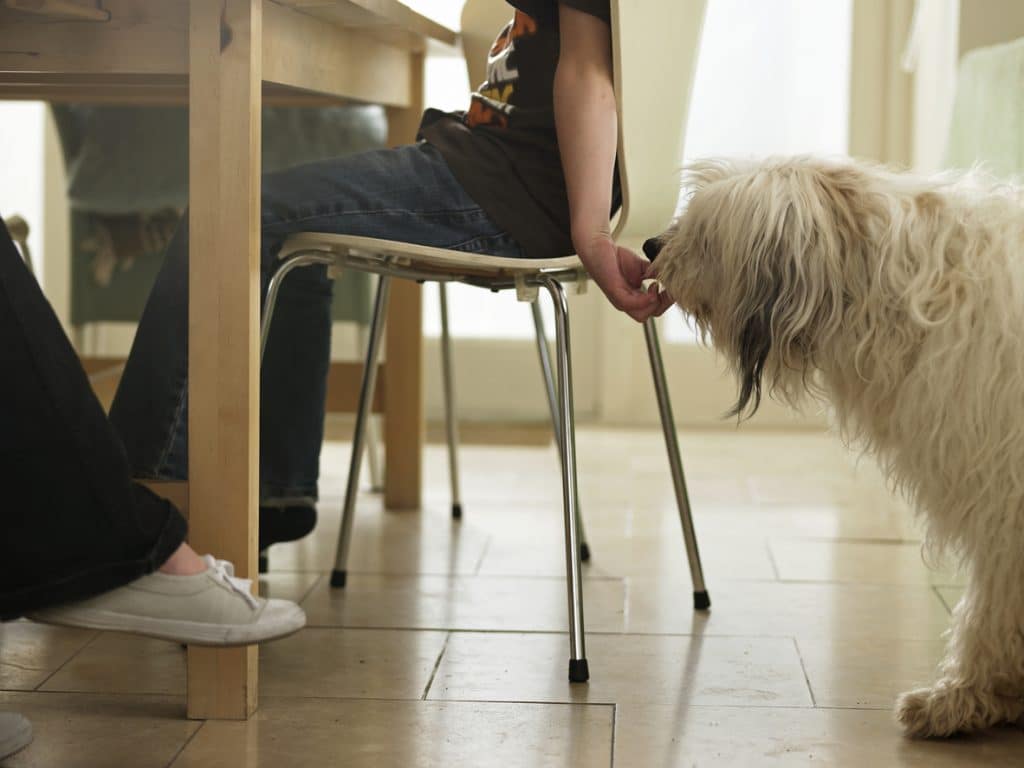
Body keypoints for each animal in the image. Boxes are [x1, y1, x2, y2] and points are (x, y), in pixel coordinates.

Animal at [647, 157, 1024, 741]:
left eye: (706, 234)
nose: (648, 247)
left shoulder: (1006, 496)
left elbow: (994, 603)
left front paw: (967, 695)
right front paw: (981, 695)